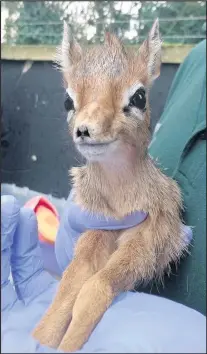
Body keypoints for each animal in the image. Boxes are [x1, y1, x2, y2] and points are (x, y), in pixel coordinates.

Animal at [32, 18, 192, 352]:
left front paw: (67, 345)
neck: (120, 199)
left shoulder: (145, 241)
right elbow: (70, 283)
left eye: (139, 97)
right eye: (68, 99)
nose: (85, 129)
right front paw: (39, 338)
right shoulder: (96, 229)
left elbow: (96, 287)